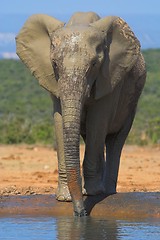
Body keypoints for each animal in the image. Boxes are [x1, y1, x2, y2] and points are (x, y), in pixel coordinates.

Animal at [15, 12, 146, 217]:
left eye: (94, 64)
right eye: (54, 64)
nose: (81, 213)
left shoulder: (109, 77)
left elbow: (97, 120)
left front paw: (91, 194)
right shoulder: (53, 81)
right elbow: (60, 120)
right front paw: (64, 198)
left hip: (132, 103)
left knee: (114, 140)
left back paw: (106, 191)